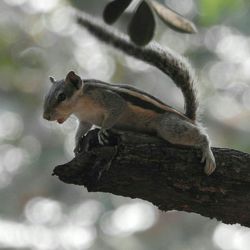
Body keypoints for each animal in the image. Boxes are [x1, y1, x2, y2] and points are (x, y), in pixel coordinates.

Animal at [43, 13, 215, 174]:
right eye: (46, 96)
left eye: (62, 96)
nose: (46, 117)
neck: (80, 105)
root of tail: (188, 118)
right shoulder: (85, 119)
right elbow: (82, 130)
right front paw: (77, 143)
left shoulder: (108, 98)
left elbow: (117, 108)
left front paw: (103, 130)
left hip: (168, 126)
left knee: (201, 135)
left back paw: (207, 152)